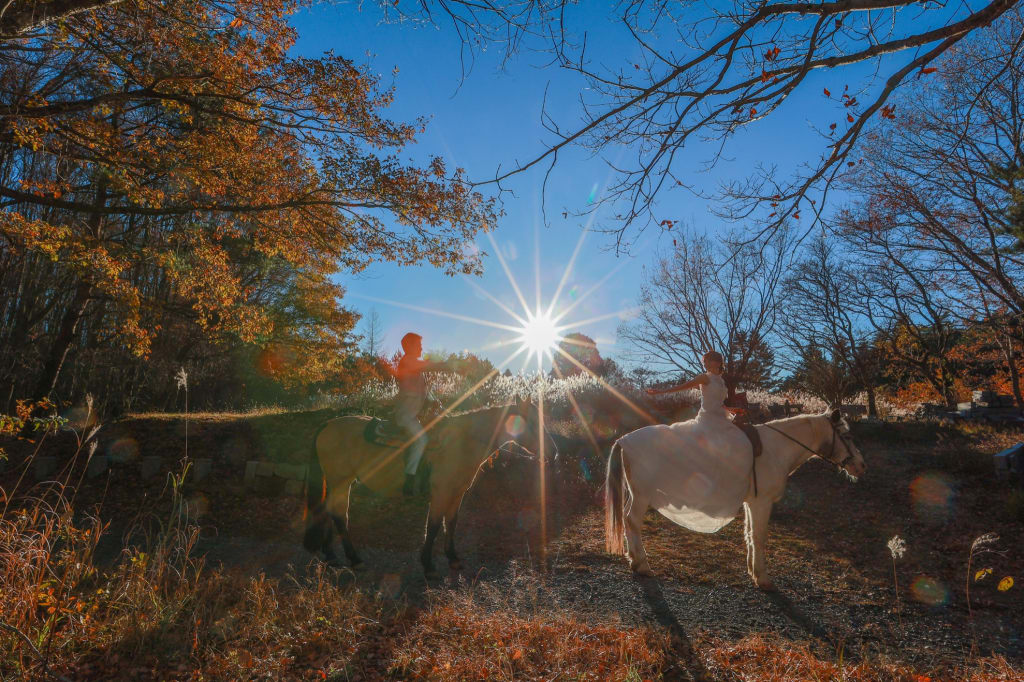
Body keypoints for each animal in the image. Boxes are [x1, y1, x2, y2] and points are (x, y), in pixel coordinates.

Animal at [301, 395, 557, 577]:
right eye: (532, 422)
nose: (553, 452)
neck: (462, 442)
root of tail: (328, 424)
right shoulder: (442, 491)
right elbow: (433, 524)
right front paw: (428, 565)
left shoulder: (457, 492)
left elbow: (451, 523)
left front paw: (453, 558)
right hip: (341, 481)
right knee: (339, 515)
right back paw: (354, 559)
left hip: (336, 482)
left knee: (327, 511)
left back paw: (331, 555)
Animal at [602, 405, 868, 585]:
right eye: (847, 436)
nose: (861, 466)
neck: (775, 448)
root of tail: (624, 439)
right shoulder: (762, 502)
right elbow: (759, 536)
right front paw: (763, 578)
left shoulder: (752, 502)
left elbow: (749, 534)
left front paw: (753, 570)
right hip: (642, 495)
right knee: (632, 521)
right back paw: (642, 564)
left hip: (636, 493)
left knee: (627, 519)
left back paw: (633, 559)